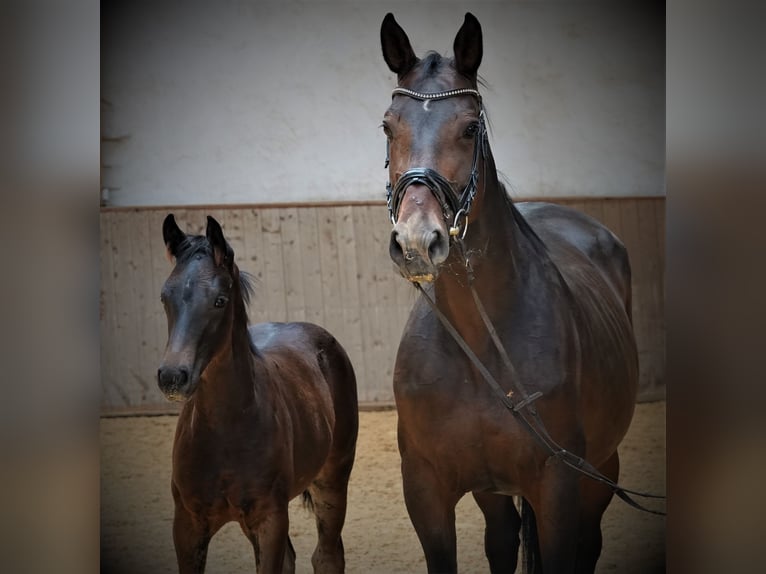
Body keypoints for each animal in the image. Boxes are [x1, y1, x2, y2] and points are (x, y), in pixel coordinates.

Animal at [158, 214, 360, 572]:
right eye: (165, 296)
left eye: (219, 300)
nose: (171, 377)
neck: (226, 431)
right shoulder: (187, 525)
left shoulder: (269, 520)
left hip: (332, 480)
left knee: (327, 555)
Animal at [380, 13, 640, 574]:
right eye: (388, 126)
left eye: (470, 127)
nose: (416, 242)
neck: (480, 346)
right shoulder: (426, 491)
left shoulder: (559, 487)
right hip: (493, 490)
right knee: (501, 540)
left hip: (601, 468)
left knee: (591, 542)